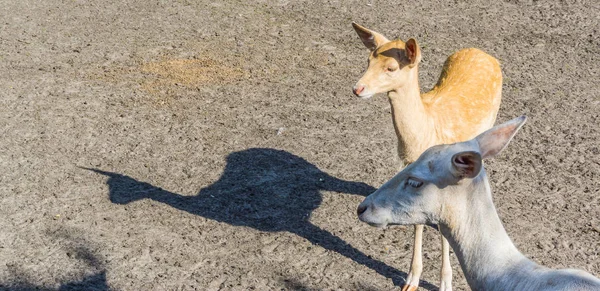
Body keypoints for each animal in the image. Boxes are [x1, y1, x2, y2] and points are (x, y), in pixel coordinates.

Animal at [350, 22, 504, 291]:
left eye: (391, 67)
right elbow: (417, 220)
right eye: (368, 60)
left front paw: (445, 283)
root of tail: (482, 52)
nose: (358, 88)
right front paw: (411, 280)